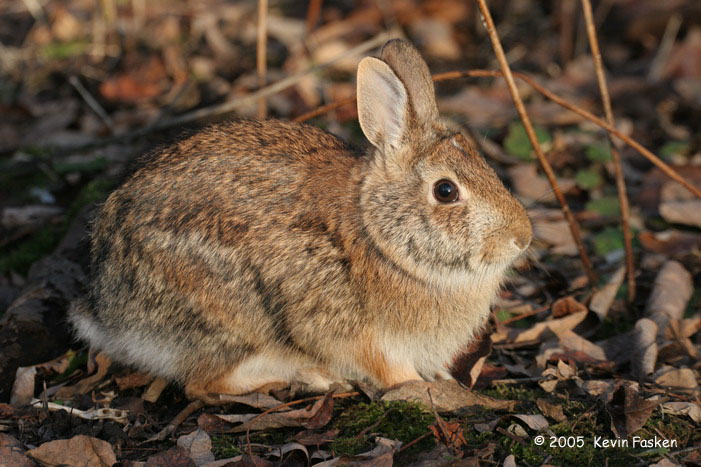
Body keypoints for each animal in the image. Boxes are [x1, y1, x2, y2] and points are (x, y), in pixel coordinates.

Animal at [71, 39, 532, 402]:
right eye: (446, 191)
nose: (522, 238)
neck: (379, 238)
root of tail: (103, 311)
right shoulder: (355, 333)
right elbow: (387, 369)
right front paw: (419, 385)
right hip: (232, 317)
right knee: (203, 384)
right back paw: (309, 377)